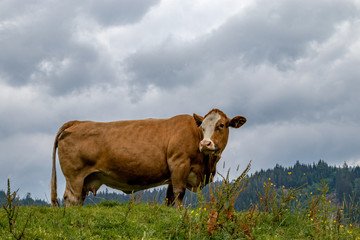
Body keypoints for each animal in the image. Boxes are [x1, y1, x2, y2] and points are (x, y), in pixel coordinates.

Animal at [50, 109, 246, 206]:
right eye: (202, 127)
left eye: (221, 125)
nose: (205, 144)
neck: (206, 166)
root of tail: (77, 122)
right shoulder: (179, 164)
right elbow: (179, 194)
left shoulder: (173, 174)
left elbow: (169, 199)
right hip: (74, 176)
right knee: (72, 198)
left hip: (84, 178)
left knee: (78, 199)